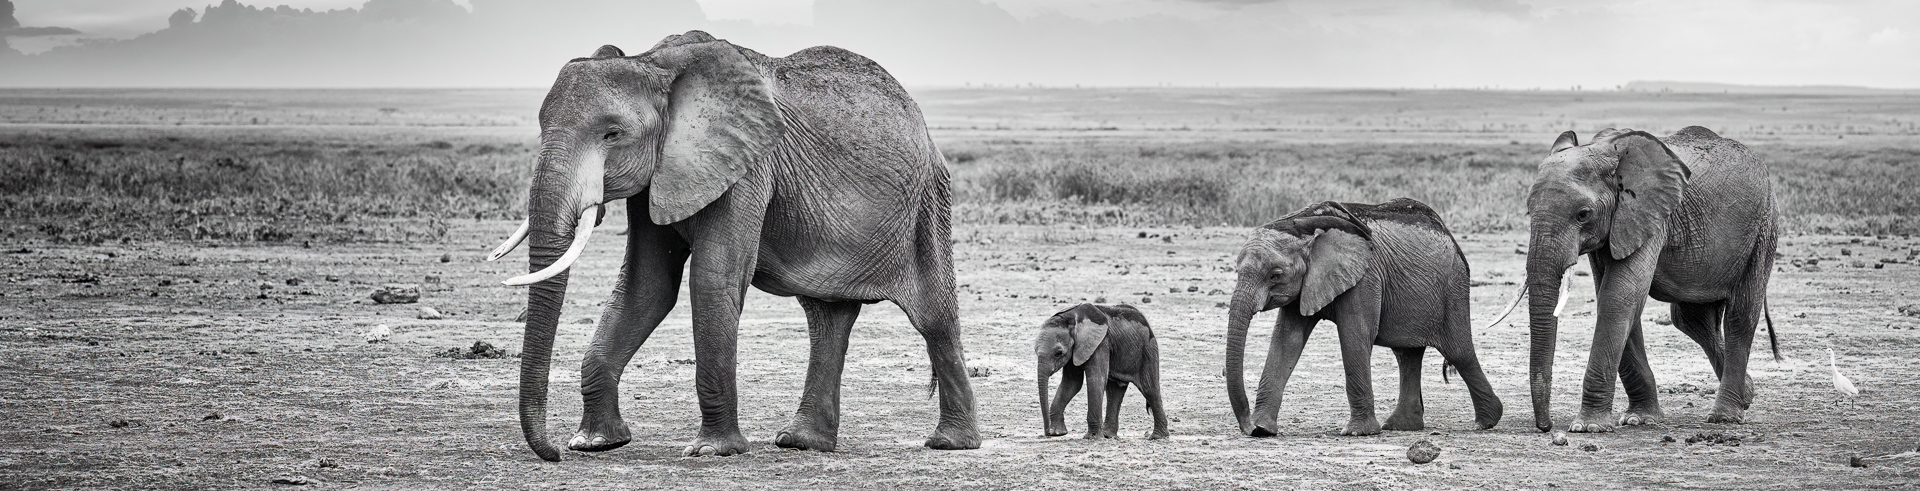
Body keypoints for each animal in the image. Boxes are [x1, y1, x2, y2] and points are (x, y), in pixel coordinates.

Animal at [487, 30, 983, 460]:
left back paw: (950, 443)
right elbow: (646, 287)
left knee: (935, 317)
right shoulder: (658, 176)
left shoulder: (747, 165)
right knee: (826, 319)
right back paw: (802, 442)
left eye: (612, 134)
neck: (654, 63)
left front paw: (712, 451)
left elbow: (713, 279)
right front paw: (595, 444)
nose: (552, 454)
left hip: (928, 203)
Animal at [1036, 304, 1167, 439]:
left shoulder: (1101, 343)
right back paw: (1108, 435)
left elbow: (1096, 379)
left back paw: (1157, 437)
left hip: (1148, 349)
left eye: (1058, 353)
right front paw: (1058, 433)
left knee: (1149, 389)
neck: (1071, 318)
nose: (1047, 433)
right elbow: (1072, 383)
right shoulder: (1076, 349)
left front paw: (1092, 437)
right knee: (1115, 391)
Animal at [1221, 199, 1505, 437]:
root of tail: (1451, 237)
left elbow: (1354, 335)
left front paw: (1358, 432)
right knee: (1407, 355)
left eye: (1275, 275)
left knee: (1459, 352)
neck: (1303, 224)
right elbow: (1286, 341)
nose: (1247, 427)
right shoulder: (1305, 285)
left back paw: (1485, 422)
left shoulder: (1365, 277)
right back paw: (1401, 426)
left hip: (1452, 289)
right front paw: (1264, 430)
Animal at [1489, 127, 1774, 433]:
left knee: (1740, 316)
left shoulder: (1650, 216)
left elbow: (1617, 298)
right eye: (1529, 210)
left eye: (1583, 214)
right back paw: (1747, 395)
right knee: (1692, 320)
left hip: (1763, 226)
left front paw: (1588, 427)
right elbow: (1621, 302)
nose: (1546, 426)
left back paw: (1725, 416)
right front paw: (1640, 419)